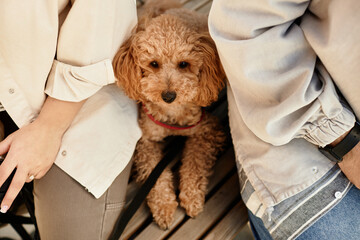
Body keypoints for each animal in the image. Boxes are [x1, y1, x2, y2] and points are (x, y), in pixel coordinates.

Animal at [112, 0, 226, 229]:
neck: (172, 115)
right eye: (154, 63)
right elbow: (154, 174)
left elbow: (194, 164)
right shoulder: (146, 141)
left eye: (184, 64)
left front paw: (192, 198)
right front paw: (164, 206)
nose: (169, 95)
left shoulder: (208, 131)